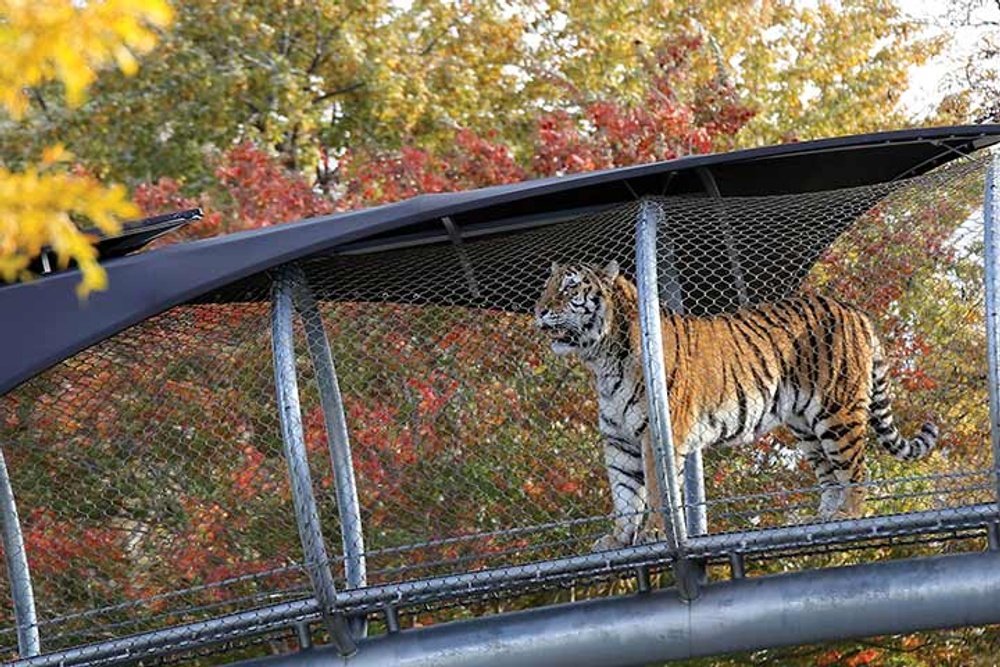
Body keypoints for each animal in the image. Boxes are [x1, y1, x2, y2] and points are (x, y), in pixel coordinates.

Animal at [536, 258, 932, 552]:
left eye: (569, 287)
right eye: (545, 287)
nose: (539, 311)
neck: (601, 358)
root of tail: (852, 309)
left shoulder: (659, 433)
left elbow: (659, 492)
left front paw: (655, 534)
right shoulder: (620, 439)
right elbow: (624, 494)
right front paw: (618, 539)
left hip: (838, 412)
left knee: (855, 472)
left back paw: (846, 516)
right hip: (806, 424)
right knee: (829, 475)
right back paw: (819, 518)